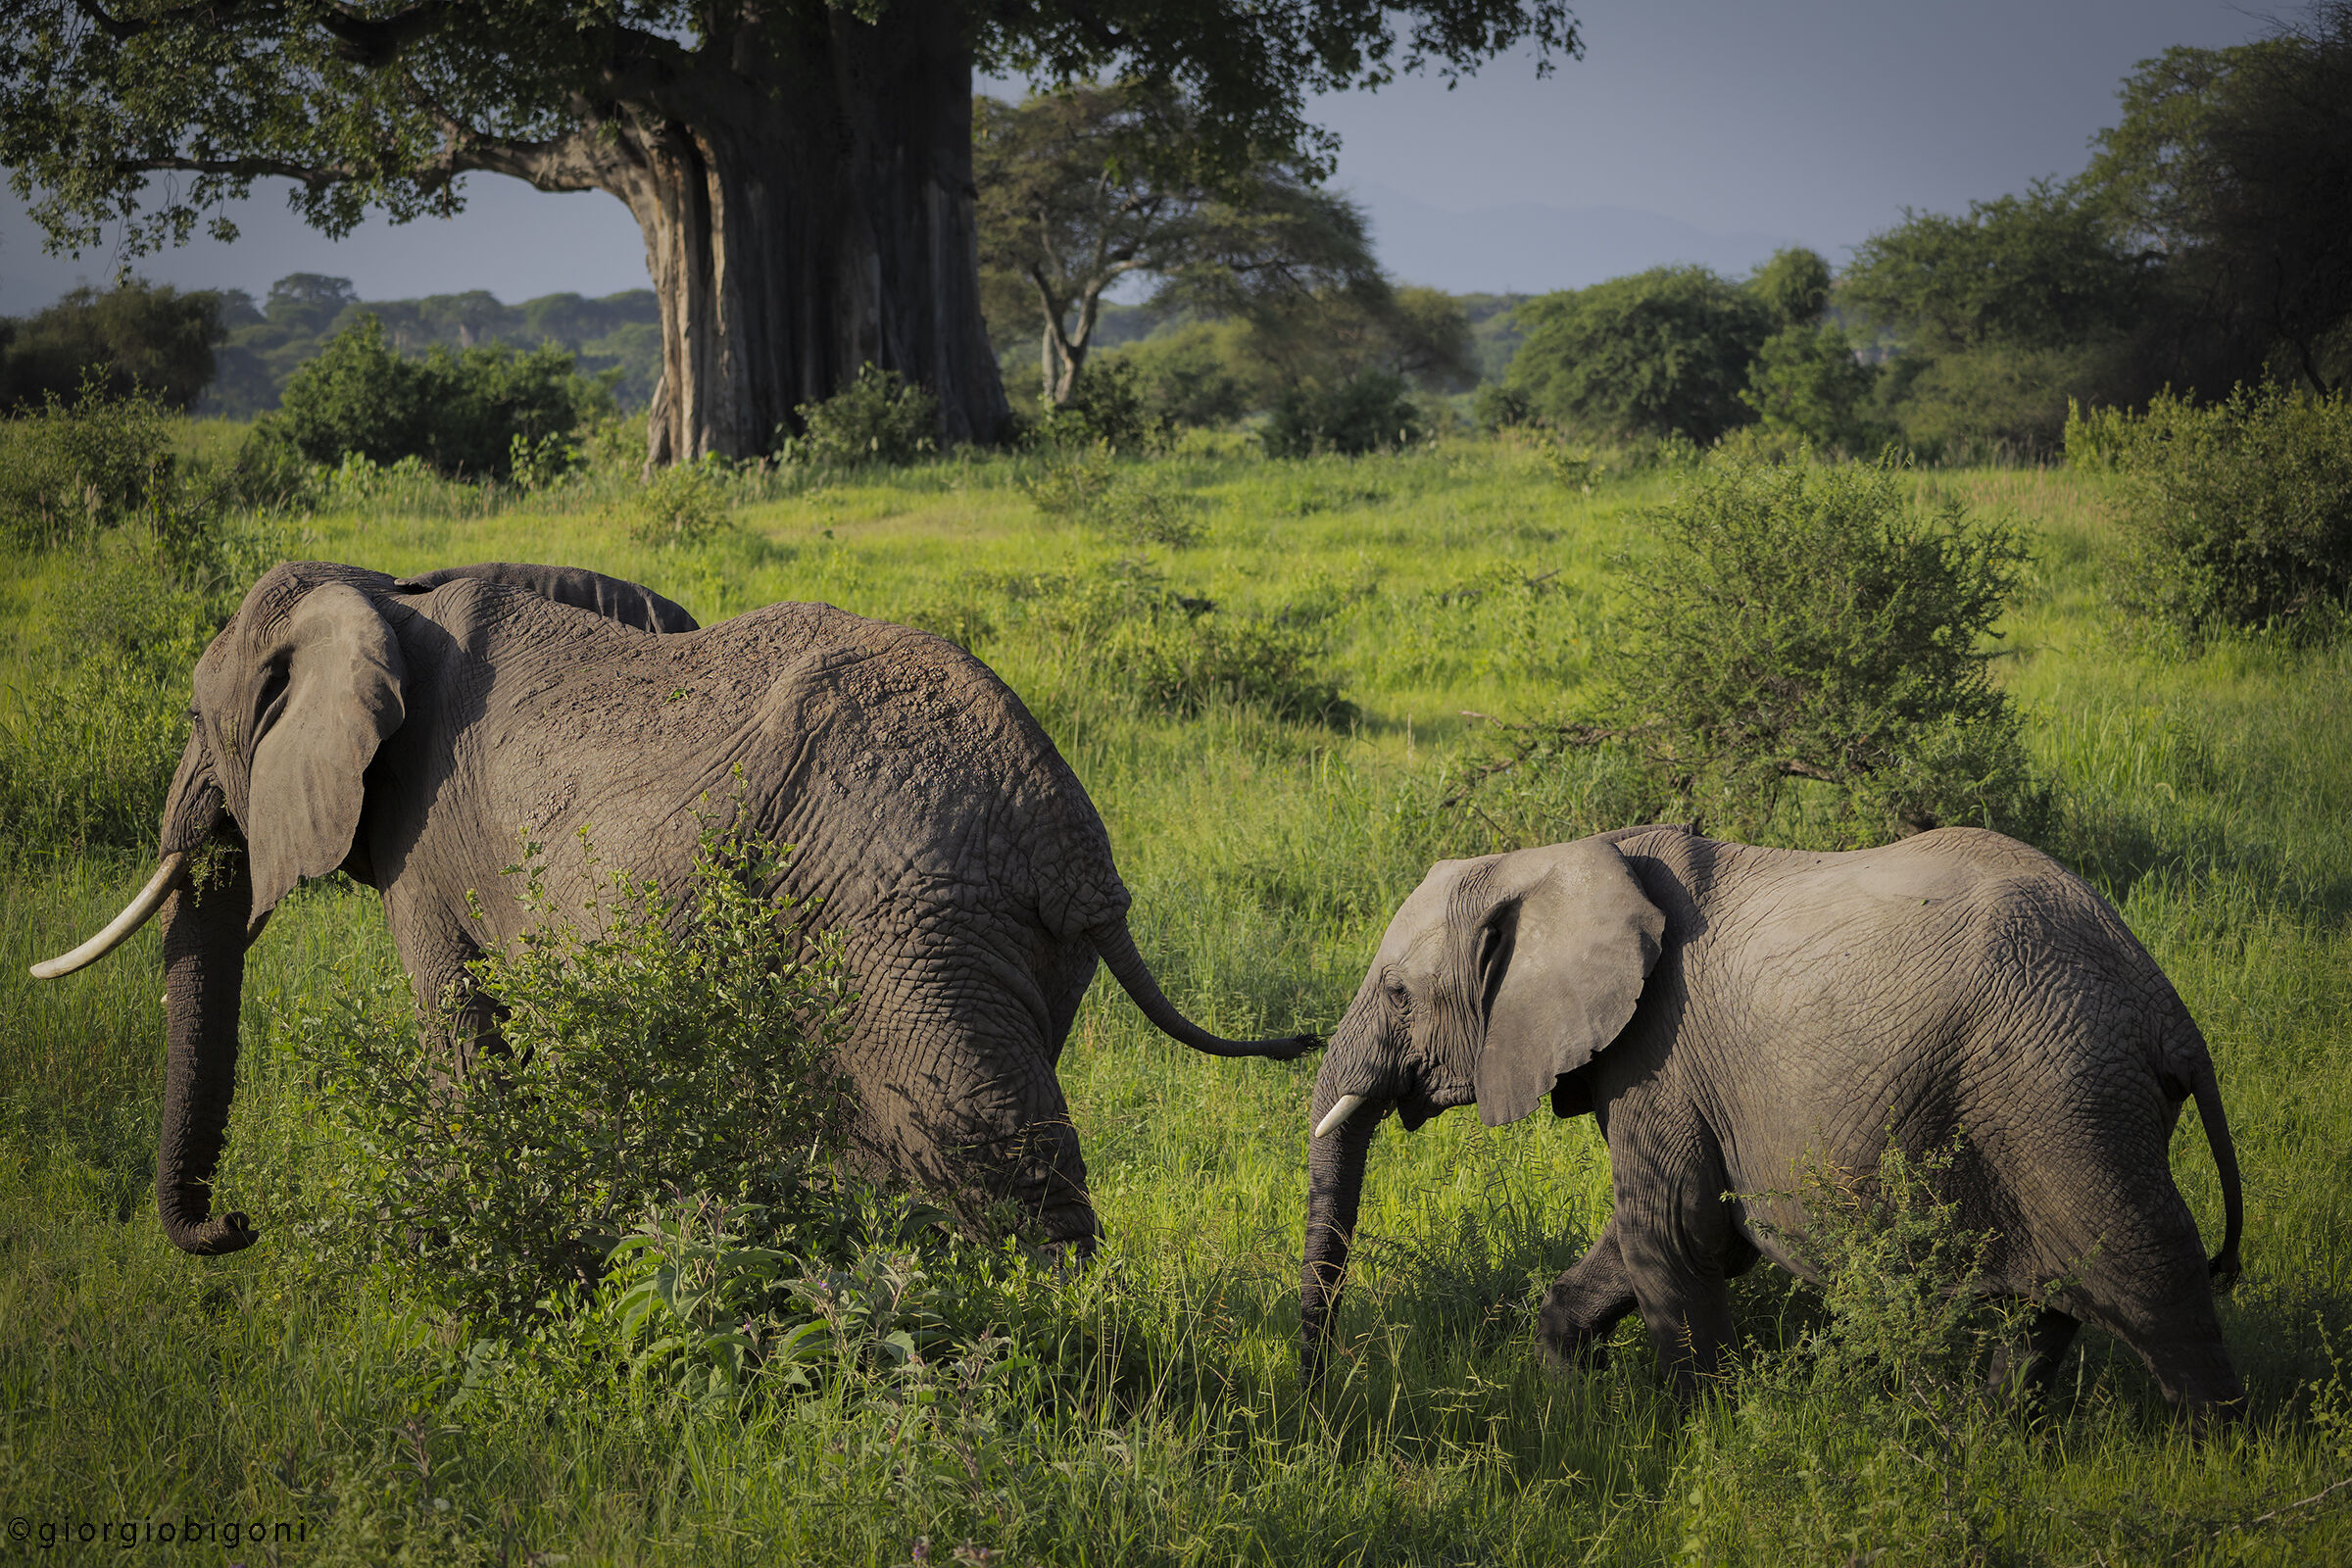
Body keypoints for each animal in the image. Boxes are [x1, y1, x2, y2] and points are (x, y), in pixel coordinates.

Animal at [32, 559, 1313, 1260]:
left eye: (199, 722)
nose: (237, 1228)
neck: (389, 591)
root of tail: (1076, 847)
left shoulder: (426, 843)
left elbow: (465, 1036)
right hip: (1008, 947)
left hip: (909, 917)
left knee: (985, 1137)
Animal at [1300, 823, 2246, 1416]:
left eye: (1398, 994)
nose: (1318, 1396)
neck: (1557, 856)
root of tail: (2170, 1013)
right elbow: (1655, 1238)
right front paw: (1573, 1398)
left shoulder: (1663, 1048)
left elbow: (1671, 1232)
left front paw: (1693, 1434)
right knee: (2041, 1305)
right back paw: (1992, 1439)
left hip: (2063, 1089)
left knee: (2149, 1268)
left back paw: (2215, 1457)